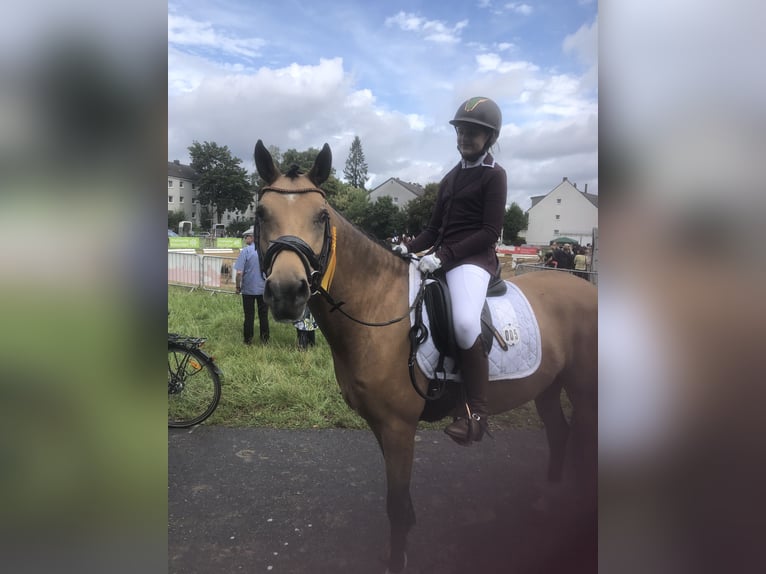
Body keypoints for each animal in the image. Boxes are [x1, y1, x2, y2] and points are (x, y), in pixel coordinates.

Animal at [252, 141, 600, 574]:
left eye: (321, 216)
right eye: (260, 213)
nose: (287, 292)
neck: (378, 306)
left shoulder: (399, 427)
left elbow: (397, 506)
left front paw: (397, 561)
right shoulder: (381, 425)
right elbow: (401, 505)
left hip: (585, 391)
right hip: (549, 386)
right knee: (559, 433)